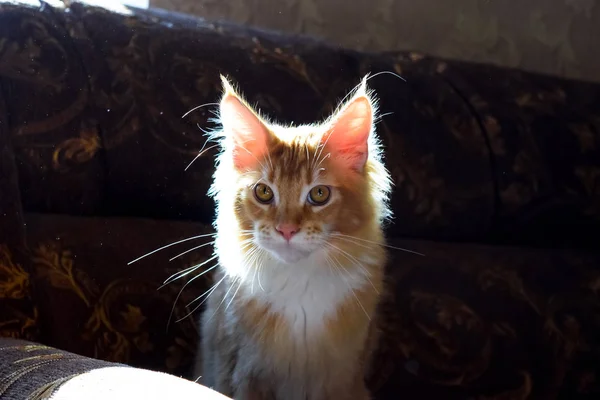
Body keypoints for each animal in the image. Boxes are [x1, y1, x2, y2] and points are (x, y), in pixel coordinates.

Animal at [197, 76, 394, 400]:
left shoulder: (343, 378)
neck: (299, 283)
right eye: (264, 192)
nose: (286, 230)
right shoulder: (242, 371)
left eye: (319, 194)